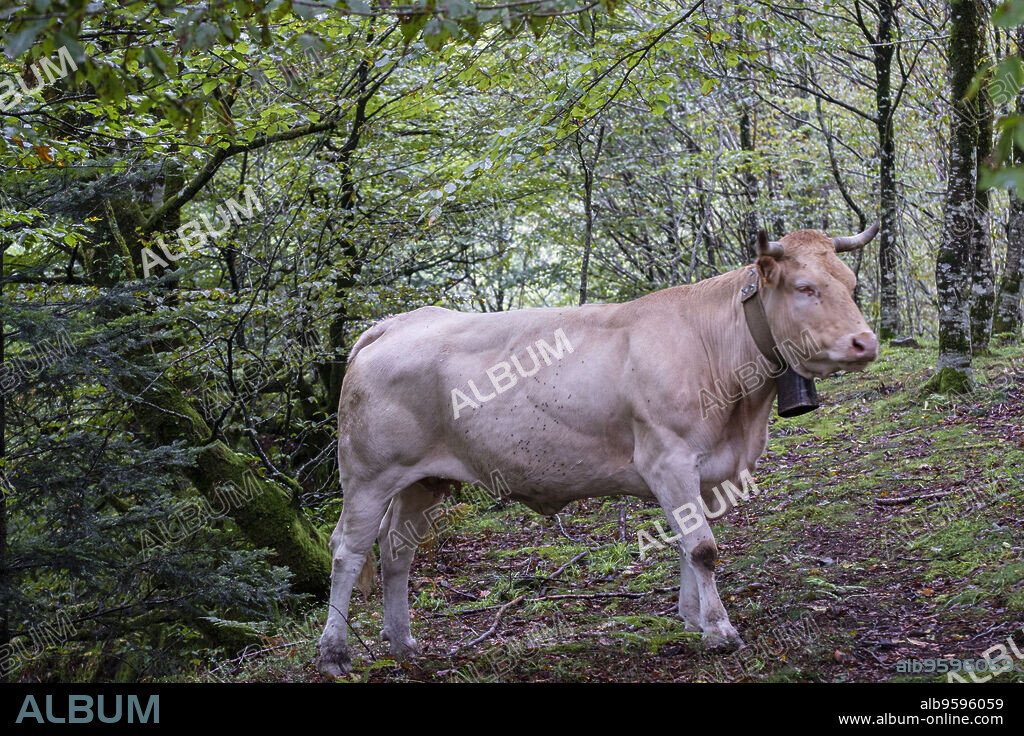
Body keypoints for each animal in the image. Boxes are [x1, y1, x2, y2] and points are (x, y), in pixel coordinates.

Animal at [317, 225, 880, 677]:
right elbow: (702, 547)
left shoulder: (699, 470)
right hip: (367, 476)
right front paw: (720, 631)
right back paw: (334, 655)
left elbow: (686, 542)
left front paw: (693, 619)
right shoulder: (668, 458)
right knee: (347, 550)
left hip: (424, 481)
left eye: (852, 285)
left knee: (397, 551)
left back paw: (405, 645)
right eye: (806, 288)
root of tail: (396, 322)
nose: (865, 343)